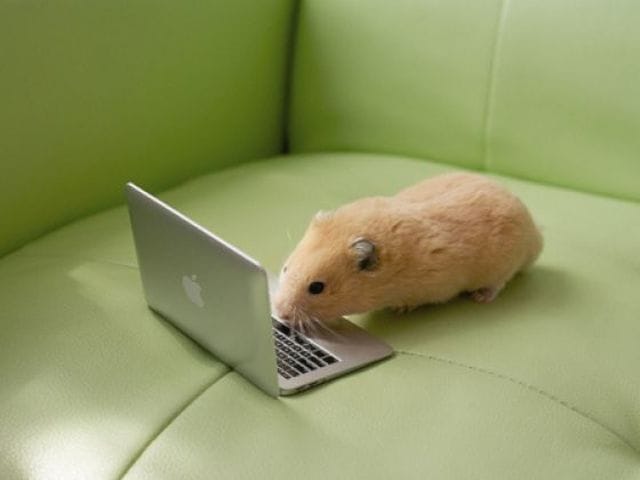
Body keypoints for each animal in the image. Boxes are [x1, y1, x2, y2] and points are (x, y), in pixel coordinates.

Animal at [273, 172, 543, 327]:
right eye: (285, 268)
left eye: (316, 288)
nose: (278, 312)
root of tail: (535, 234)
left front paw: (399, 310)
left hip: (503, 264)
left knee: (499, 283)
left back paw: (480, 297)